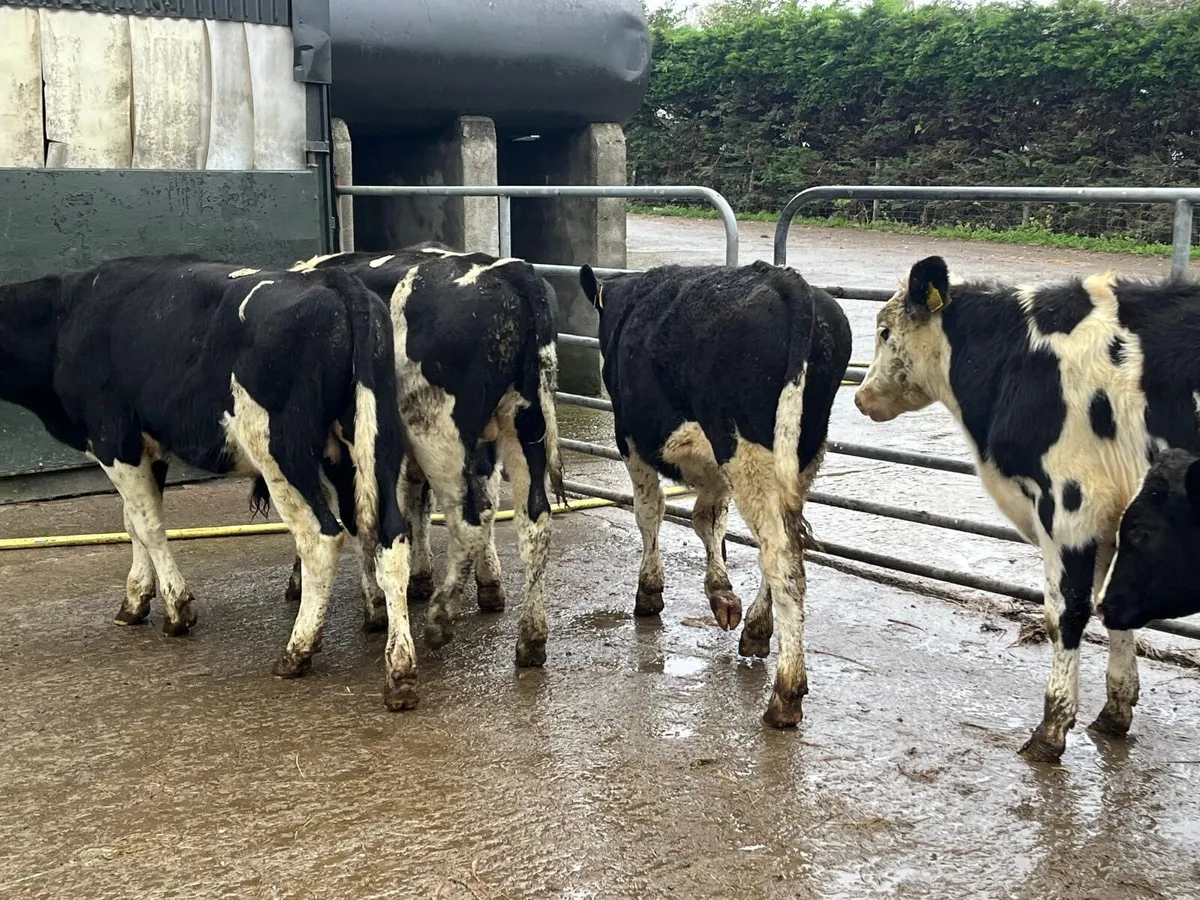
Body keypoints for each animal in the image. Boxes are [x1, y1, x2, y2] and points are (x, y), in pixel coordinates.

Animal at [0, 255, 421, 710]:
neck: (66, 315)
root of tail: (334, 281)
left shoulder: (115, 440)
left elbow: (148, 526)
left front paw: (176, 609)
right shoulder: (148, 446)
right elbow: (132, 522)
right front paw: (135, 600)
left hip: (282, 450)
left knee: (321, 537)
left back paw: (297, 652)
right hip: (366, 446)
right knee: (388, 537)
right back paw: (398, 668)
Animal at [281, 245, 564, 669]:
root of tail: (507, 271)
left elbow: (354, 516)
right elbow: (415, 502)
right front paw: (426, 575)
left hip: (437, 432)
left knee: (469, 518)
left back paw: (440, 617)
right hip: (524, 425)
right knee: (533, 521)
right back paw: (530, 638)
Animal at [578, 260, 852, 728]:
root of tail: (786, 280)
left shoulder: (631, 438)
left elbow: (650, 512)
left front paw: (649, 590)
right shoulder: (711, 466)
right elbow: (707, 518)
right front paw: (720, 592)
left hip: (745, 450)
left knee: (782, 557)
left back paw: (785, 694)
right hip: (800, 454)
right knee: (784, 544)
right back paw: (757, 632)